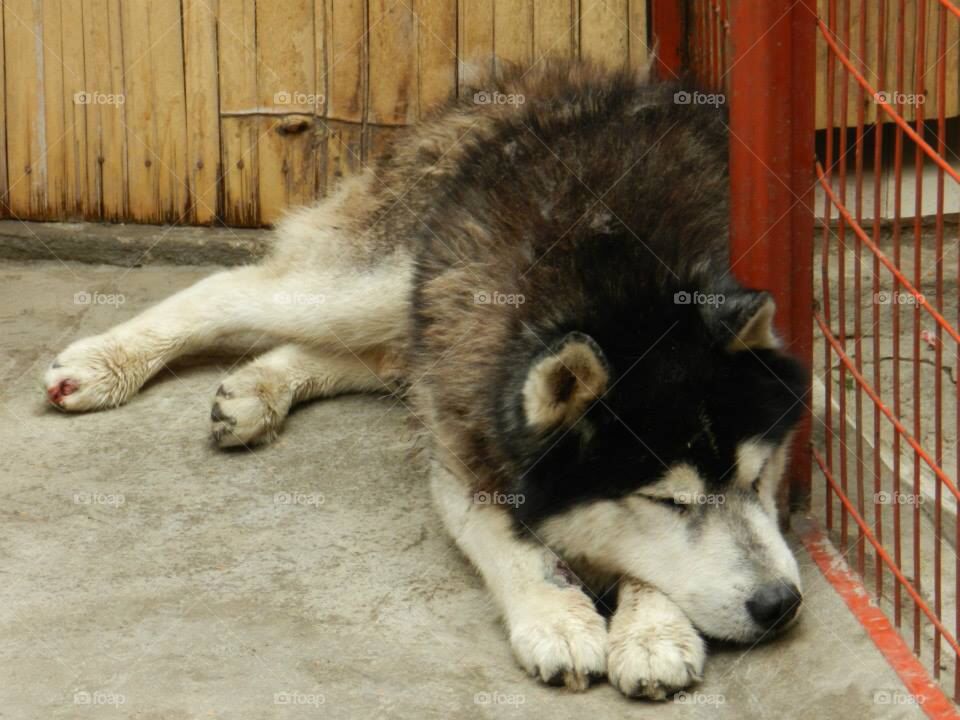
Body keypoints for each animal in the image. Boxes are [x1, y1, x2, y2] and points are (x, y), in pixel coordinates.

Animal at [47, 59, 808, 700]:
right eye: (667, 502)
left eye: (758, 479)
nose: (780, 603)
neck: (625, 287)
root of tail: (509, 86)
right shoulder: (466, 430)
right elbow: (508, 536)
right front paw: (559, 618)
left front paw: (651, 626)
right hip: (387, 279)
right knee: (232, 291)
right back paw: (102, 363)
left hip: (426, 302)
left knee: (385, 359)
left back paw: (259, 387)